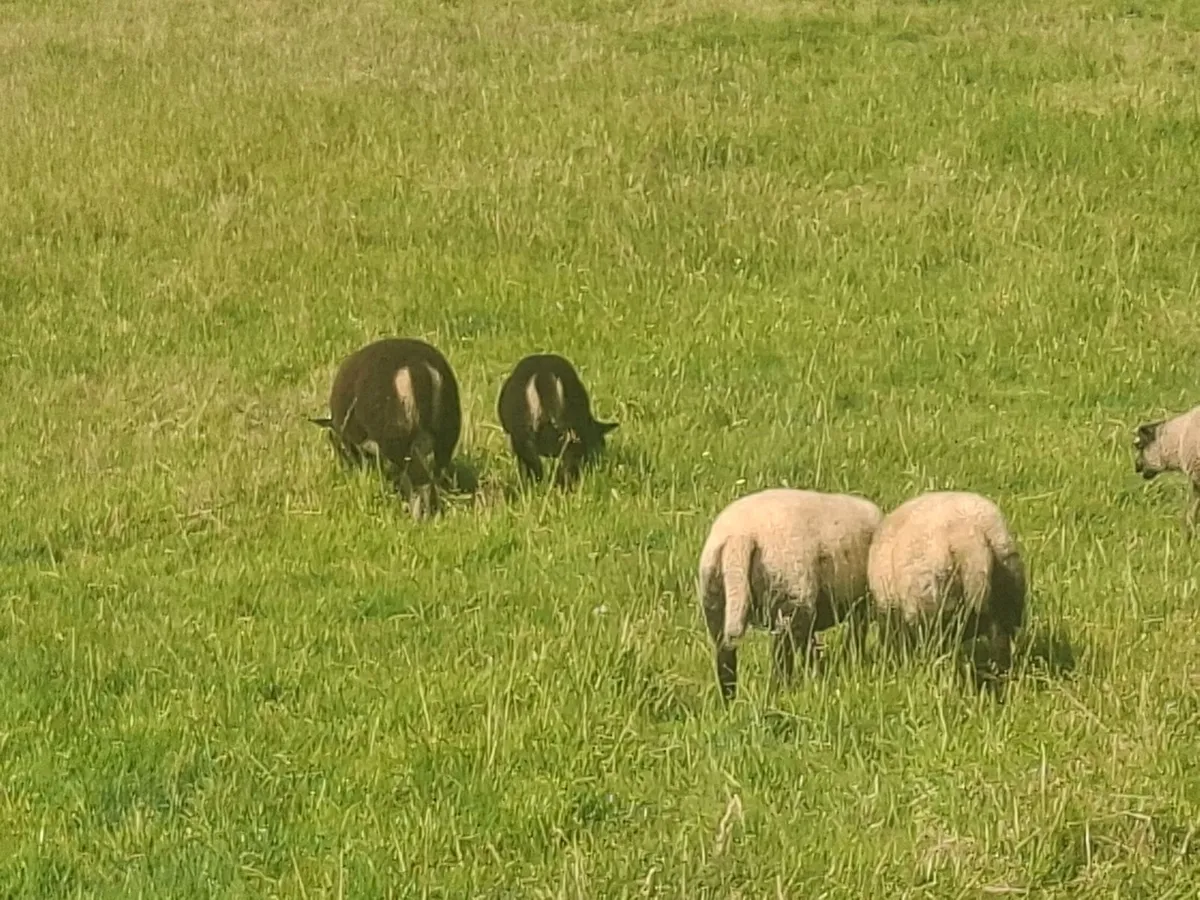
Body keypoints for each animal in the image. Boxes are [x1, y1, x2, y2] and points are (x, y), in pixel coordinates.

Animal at [310, 337, 462, 520]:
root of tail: (419, 367)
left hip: (398, 440)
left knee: (423, 482)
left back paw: (418, 518)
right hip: (446, 434)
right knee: (435, 477)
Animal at [697, 488, 884, 702]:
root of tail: (739, 536)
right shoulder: (861, 605)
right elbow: (855, 637)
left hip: (715, 600)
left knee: (725, 657)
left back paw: (730, 701)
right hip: (791, 595)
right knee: (783, 657)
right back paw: (780, 693)